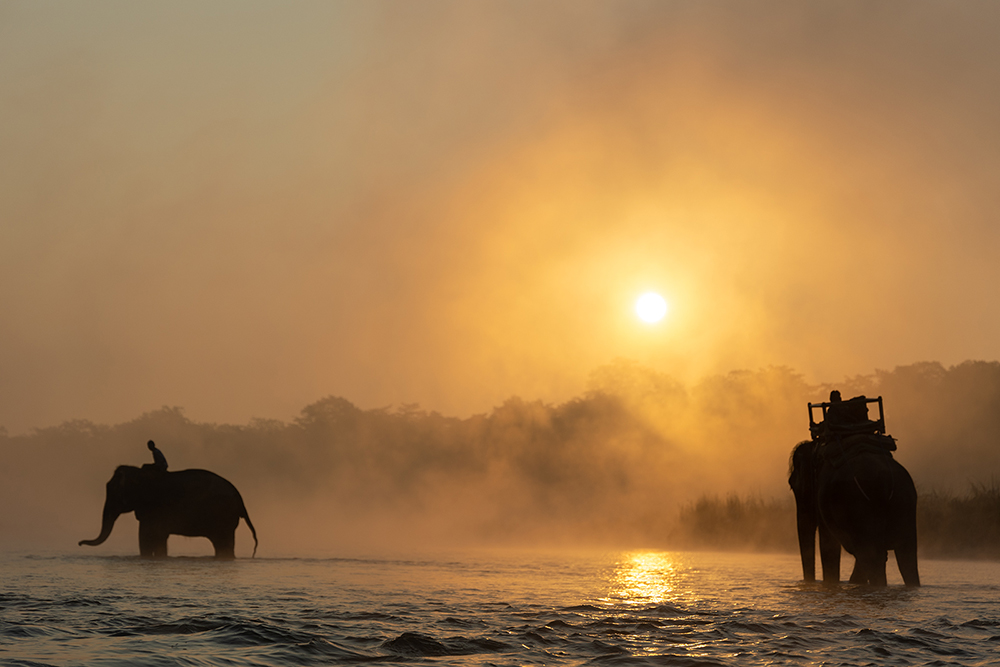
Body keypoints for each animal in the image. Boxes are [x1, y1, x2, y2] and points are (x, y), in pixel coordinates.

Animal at [80, 464, 258, 560]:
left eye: (114, 492)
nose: (80, 543)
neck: (140, 474)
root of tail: (240, 500)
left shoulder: (155, 508)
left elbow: (146, 536)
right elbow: (159, 538)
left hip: (223, 517)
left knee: (223, 544)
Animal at [788, 440, 920, 588]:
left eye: (792, 485)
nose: (808, 582)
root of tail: (886, 478)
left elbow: (829, 547)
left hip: (859, 504)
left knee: (873, 556)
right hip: (905, 503)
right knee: (906, 558)